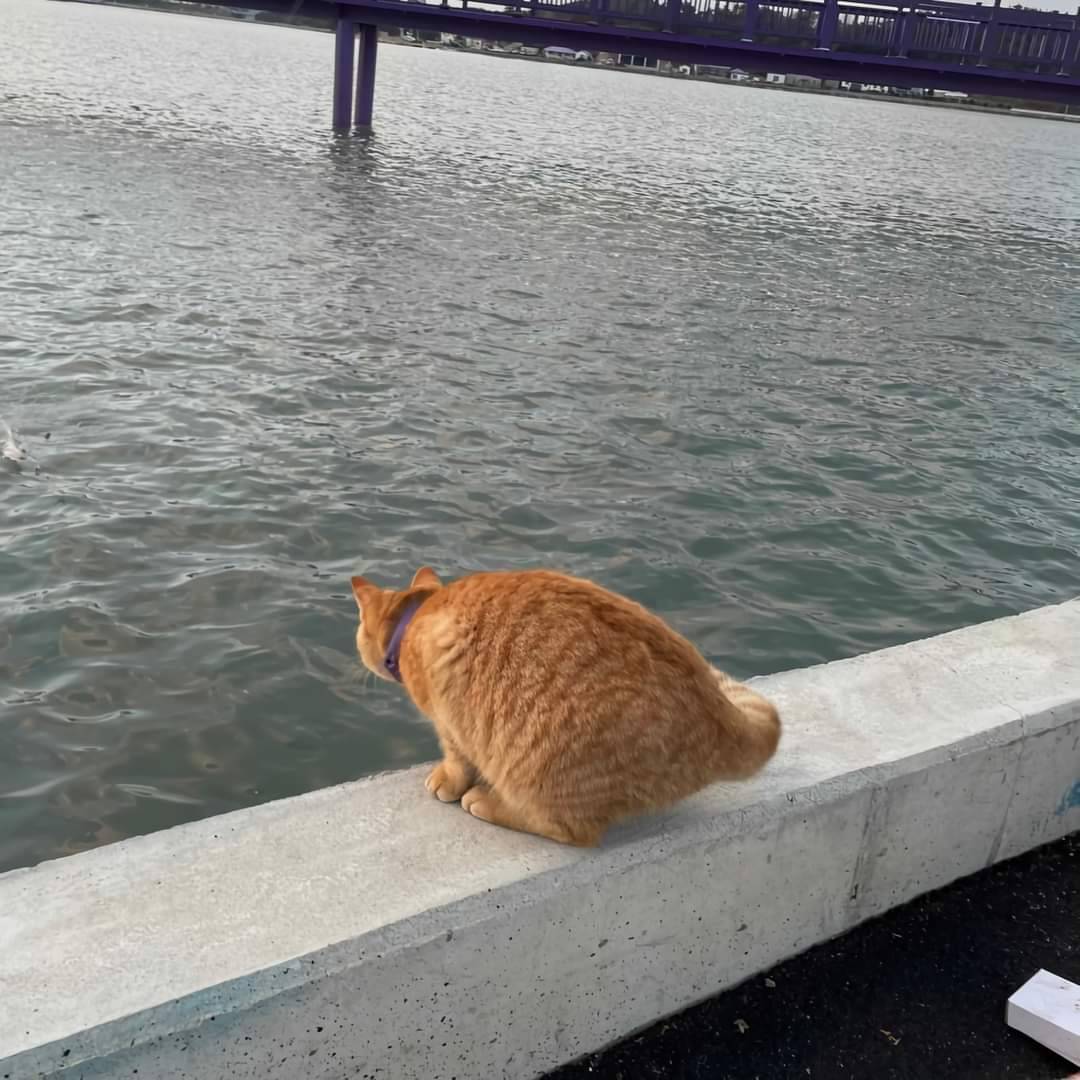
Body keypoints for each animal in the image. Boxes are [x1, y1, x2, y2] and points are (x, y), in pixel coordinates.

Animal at [349, 565, 781, 842]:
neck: (420, 614)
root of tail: (721, 716)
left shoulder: (449, 721)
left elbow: (457, 759)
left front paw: (448, 782)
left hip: (543, 771)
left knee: (570, 831)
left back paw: (487, 803)